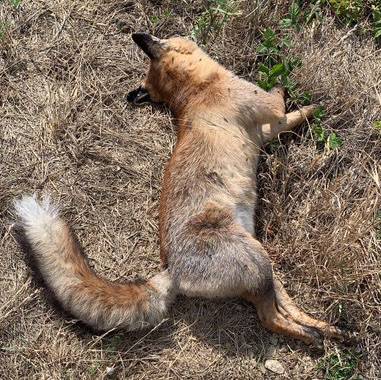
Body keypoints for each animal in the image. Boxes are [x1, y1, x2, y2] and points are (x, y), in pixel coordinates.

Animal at [13, 32, 346, 346]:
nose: (142, 34)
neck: (197, 91)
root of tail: (171, 269)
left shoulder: (265, 132)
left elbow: (288, 117)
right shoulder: (269, 110)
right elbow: (285, 100)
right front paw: (310, 102)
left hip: (260, 259)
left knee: (283, 304)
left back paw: (328, 329)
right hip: (256, 262)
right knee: (270, 317)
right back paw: (313, 336)